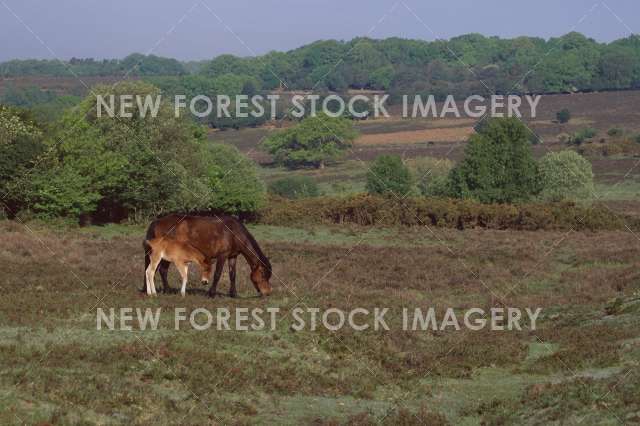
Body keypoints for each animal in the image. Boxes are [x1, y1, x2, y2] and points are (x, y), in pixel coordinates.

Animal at [141, 214, 272, 297]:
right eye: (263, 274)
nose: (267, 293)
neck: (233, 233)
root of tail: (157, 222)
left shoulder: (232, 257)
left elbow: (233, 275)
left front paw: (233, 294)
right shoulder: (222, 256)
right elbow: (217, 274)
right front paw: (212, 293)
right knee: (162, 270)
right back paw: (167, 290)